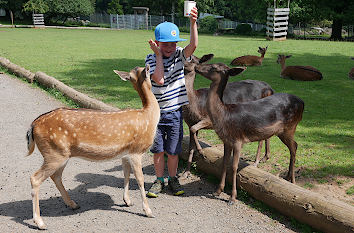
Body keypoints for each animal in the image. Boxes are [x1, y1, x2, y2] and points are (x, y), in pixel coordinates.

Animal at [27, 65, 160, 229]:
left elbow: (126, 174)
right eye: (146, 71)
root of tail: (33, 125)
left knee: (56, 176)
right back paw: (40, 222)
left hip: (60, 154)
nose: (152, 70)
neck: (148, 116)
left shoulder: (125, 153)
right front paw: (148, 211)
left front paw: (127, 201)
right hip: (54, 153)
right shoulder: (136, 150)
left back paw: (73, 204)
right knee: (35, 178)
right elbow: (140, 179)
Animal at [196, 62, 304, 205]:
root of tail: (303, 103)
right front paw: (218, 191)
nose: (196, 66)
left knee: (295, 146)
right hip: (284, 131)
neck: (224, 115)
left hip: (290, 127)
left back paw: (292, 179)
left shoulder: (238, 140)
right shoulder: (226, 141)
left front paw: (232, 198)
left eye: (213, 67)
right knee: (293, 146)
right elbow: (224, 163)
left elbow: (234, 166)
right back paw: (287, 176)